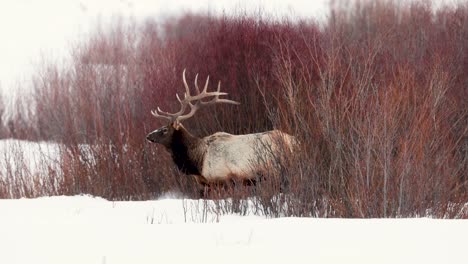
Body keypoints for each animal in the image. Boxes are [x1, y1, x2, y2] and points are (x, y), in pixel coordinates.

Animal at [146, 69, 294, 195]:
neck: (198, 162)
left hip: (276, 170)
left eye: (165, 129)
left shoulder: (223, 178)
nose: (148, 136)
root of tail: (294, 142)